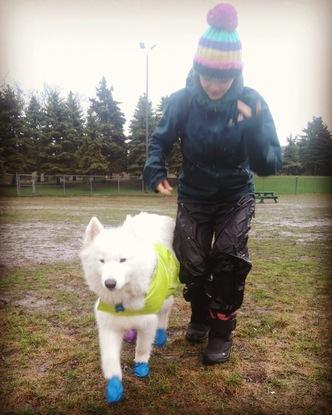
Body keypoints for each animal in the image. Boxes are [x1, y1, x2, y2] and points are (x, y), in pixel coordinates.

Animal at [80, 213, 179, 404]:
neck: (123, 300)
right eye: (101, 261)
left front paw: (141, 366)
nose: (110, 283)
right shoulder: (109, 327)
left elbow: (142, 347)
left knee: (165, 312)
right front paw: (114, 386)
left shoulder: (148, 322)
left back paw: (161, 336)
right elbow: (110, 359)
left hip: (166, 296)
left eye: (122, 260)